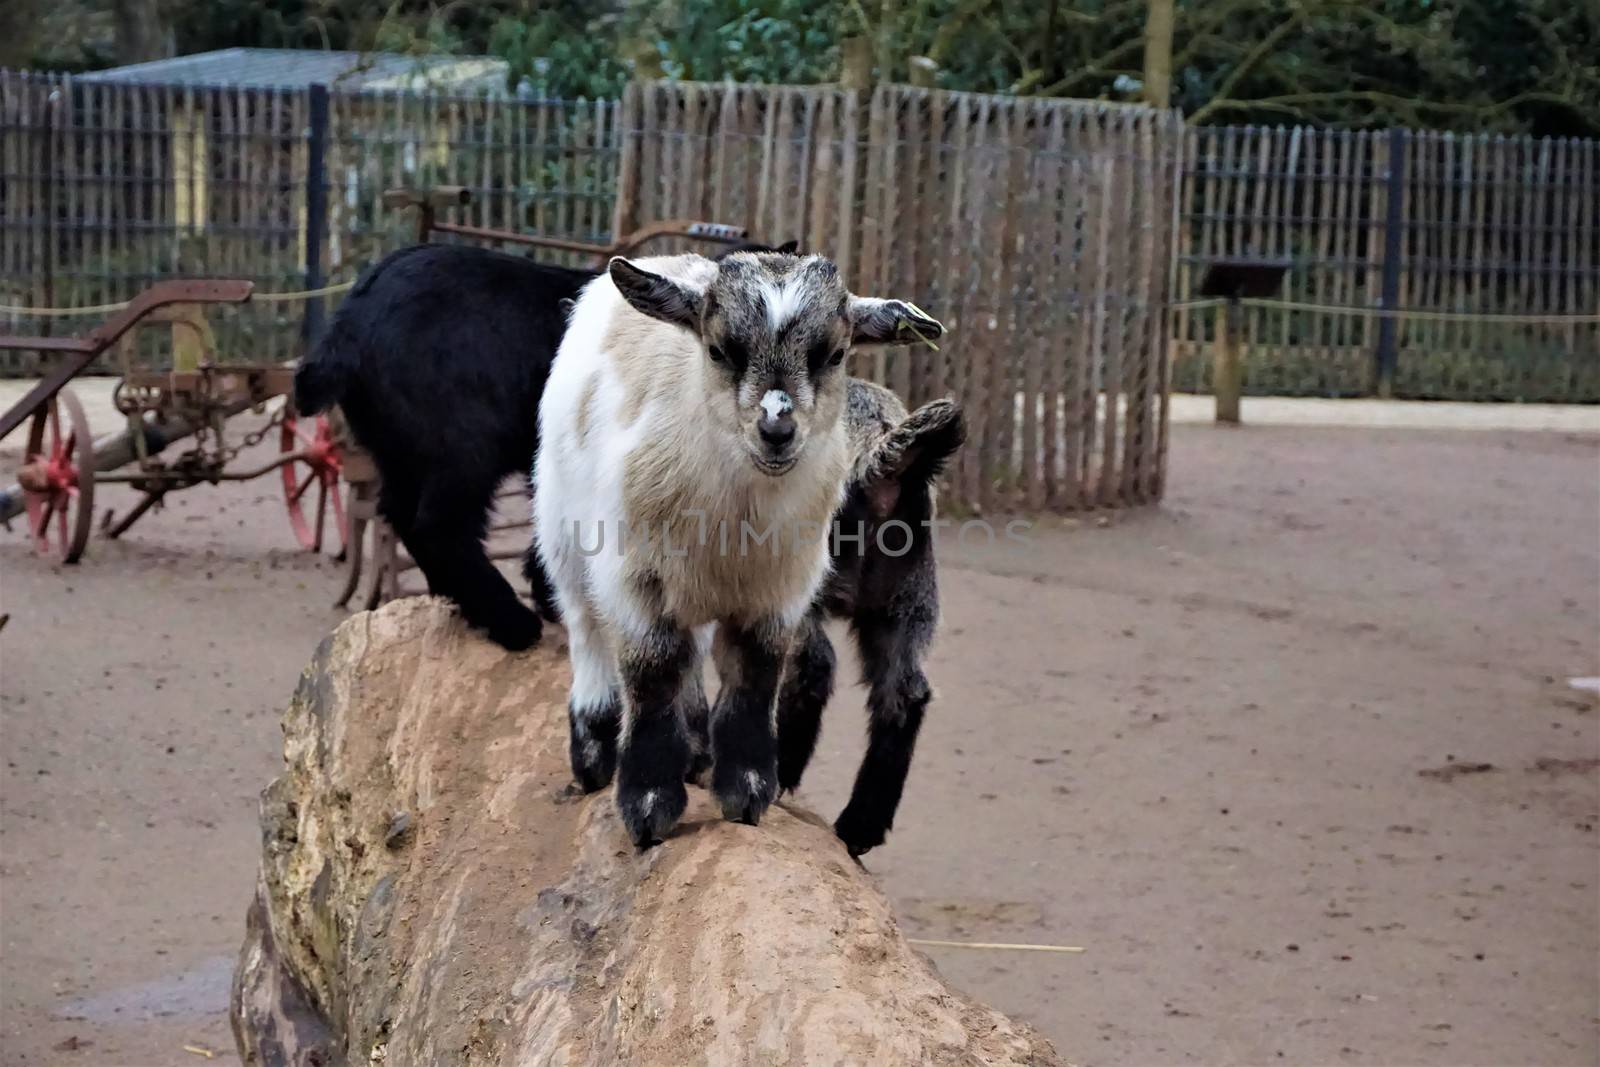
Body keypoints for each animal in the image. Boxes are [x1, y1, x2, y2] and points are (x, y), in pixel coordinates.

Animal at [294, 238, 793, 652]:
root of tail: (348, 327)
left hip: (402, 454)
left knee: (400, 514)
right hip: (464, 451)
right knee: (438, 525)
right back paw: (510, 622)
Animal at [531, 252, 940, 851]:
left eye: (834, 354)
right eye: (720, 349)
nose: (777, 429)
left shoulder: (780, 591)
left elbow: (754, 672)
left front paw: (744, 793)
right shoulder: (636, 579)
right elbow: (652, 670)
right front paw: (648, 806)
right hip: (562, 527)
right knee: (585, 627)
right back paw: (594, 754)